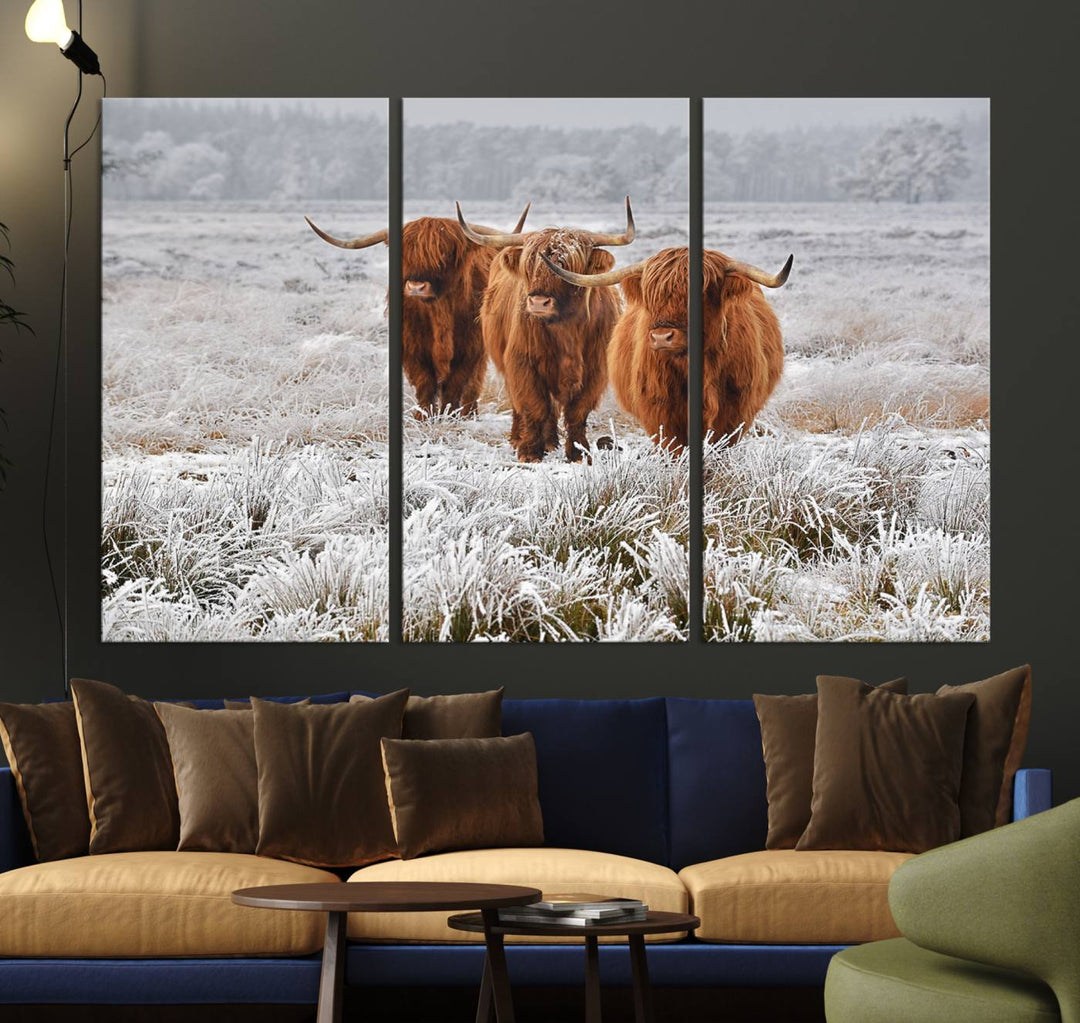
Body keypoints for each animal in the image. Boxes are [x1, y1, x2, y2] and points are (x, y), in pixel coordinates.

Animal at [304, 208, 527, 416]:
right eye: (404, 254)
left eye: (445, 253)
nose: (416, 287)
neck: (439, 312)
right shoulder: (413, 347)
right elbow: (425, 383)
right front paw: (424, 416)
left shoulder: (470, 347)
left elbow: (456, 384)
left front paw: (449, 414)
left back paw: (469, 413)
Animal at [453, 197, 630, 462]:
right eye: (530, 265)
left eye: (568, 266)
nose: (538, 302)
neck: (566, 330)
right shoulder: (522, 363)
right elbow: (533, 406)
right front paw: (529, 452)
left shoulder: (595, 369)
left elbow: (577, 411)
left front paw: (579, 452)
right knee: (524, 405)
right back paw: (521, 439)